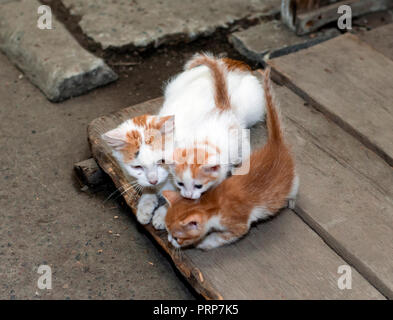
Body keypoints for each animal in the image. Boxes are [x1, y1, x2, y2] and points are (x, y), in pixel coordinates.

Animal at [162, 68, 298, 250]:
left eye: (177, 237)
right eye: (180, 184)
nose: (170, 241)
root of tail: (275, 144)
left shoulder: (240, 224)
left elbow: (223, 236)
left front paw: (205, 243)